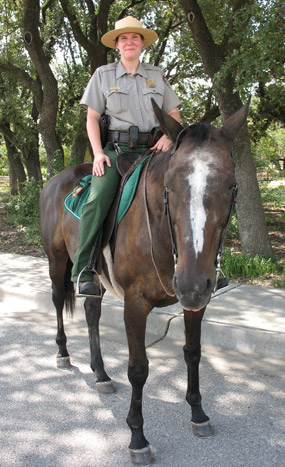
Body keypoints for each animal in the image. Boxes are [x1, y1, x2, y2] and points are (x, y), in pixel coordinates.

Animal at [39, 100, 248, 466]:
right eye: (170, 186)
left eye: (230, 185)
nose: (191, 282)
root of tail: (56, 180)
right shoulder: (135, 303)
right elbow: (138, 369)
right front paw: (137, 436)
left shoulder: (197, 301)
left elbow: (193, 353)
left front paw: (198, 413)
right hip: (56, 260)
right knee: (56, 299)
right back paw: (63, 353)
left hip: (97, 277)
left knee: (91, 310)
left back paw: (101, 374)